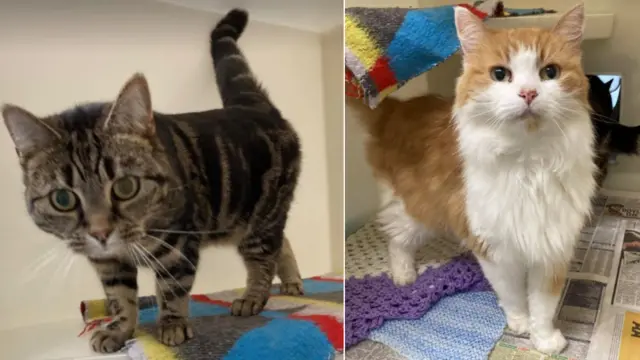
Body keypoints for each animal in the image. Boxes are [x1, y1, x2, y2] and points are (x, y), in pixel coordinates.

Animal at [1, 9, 302, 352]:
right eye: (62, 199)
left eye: (125, 187)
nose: (100, 233)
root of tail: (252, 105)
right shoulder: (109, 263)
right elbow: (120, 298)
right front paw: (119, 330)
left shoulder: (178, 244)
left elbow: (172, 288)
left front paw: (172, 326)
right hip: (240, 222)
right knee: (282, 244)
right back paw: (292, 281)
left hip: (260, 218)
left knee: (263, 258)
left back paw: (253, 297)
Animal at [350, 4, 596, 356]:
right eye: (500, 74)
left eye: (550, 72)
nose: (528, 93)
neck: (529, 162)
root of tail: (395, 110)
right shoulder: (492, 244)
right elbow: (512, 292)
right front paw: (519, 323)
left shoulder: (552, 244)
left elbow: (544, 303)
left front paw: (544, 338)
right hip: (417, 210)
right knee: (397, 238)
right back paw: (404, 274)